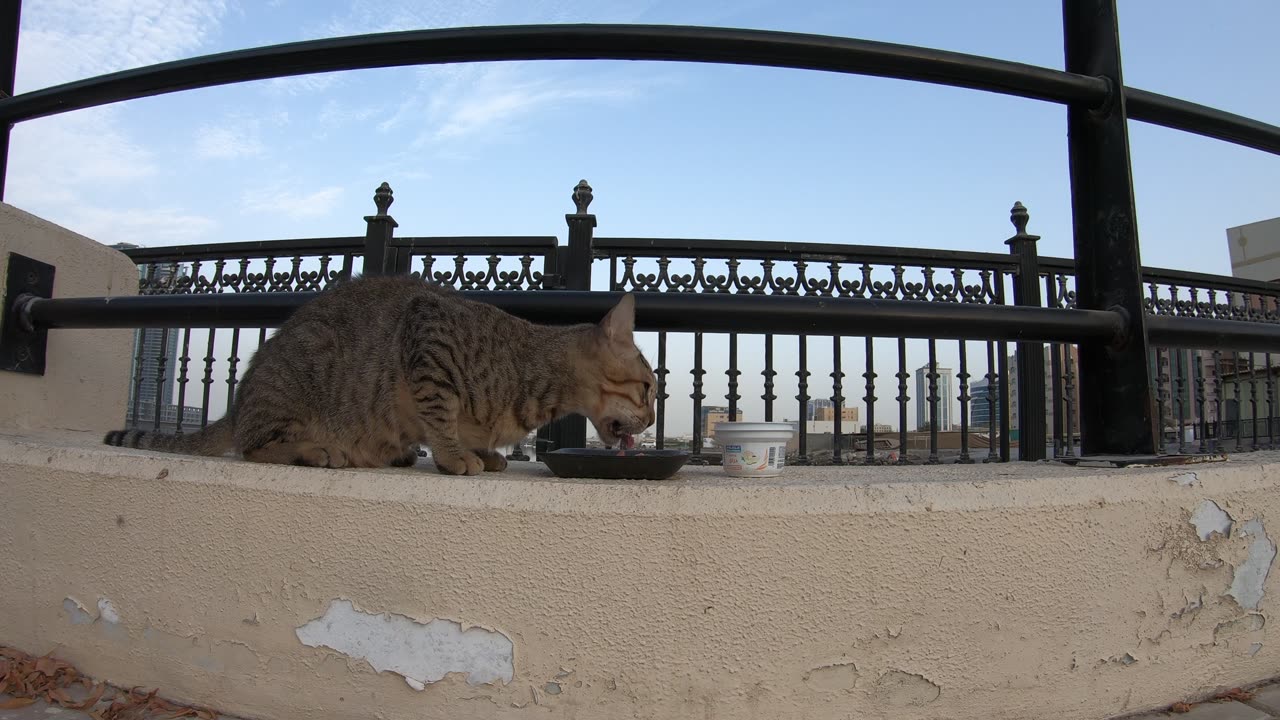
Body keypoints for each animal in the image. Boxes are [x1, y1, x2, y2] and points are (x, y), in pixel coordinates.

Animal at [103, 275, 655, 476]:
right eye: (649, 388)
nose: (651, 421)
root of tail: (238, 404)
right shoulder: (429, 335)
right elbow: (442, 416)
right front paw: (456, 456)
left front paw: (481, 452)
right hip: (295, 380)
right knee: (253, 445)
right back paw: (314, 451)